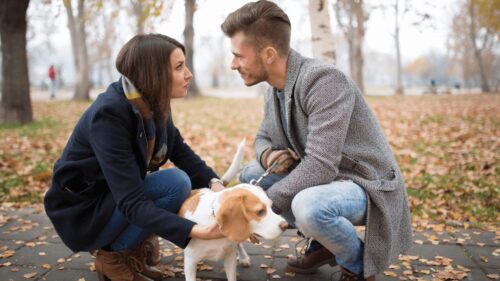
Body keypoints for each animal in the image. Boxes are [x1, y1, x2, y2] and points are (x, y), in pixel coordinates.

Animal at [178, 141, 288, 280]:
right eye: (260, 212)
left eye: (271, 207)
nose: (286, 225)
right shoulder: (190, 262)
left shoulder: (230, 258)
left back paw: (243, 257)